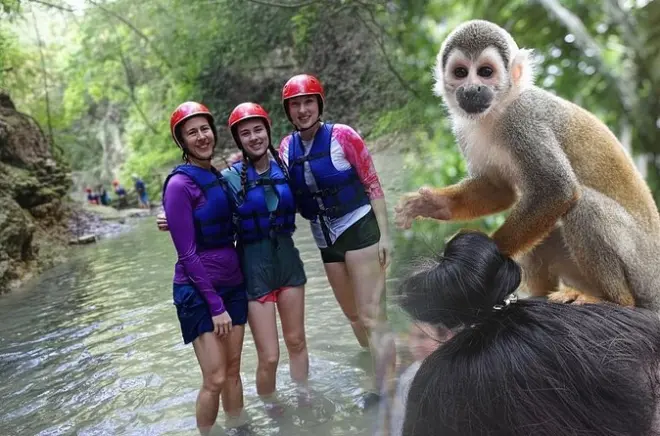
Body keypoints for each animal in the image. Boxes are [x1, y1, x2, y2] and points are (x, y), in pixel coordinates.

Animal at [394, 19, 660, 313]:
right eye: (461, 73)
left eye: (485, 72)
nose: (472, 89)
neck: (497, 112)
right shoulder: (463, 131)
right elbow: (499, 190)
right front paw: (434, 204)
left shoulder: (523, 121)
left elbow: (557, 189)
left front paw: (481, 257)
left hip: (641, 269)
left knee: (584, 206)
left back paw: (615, 300)